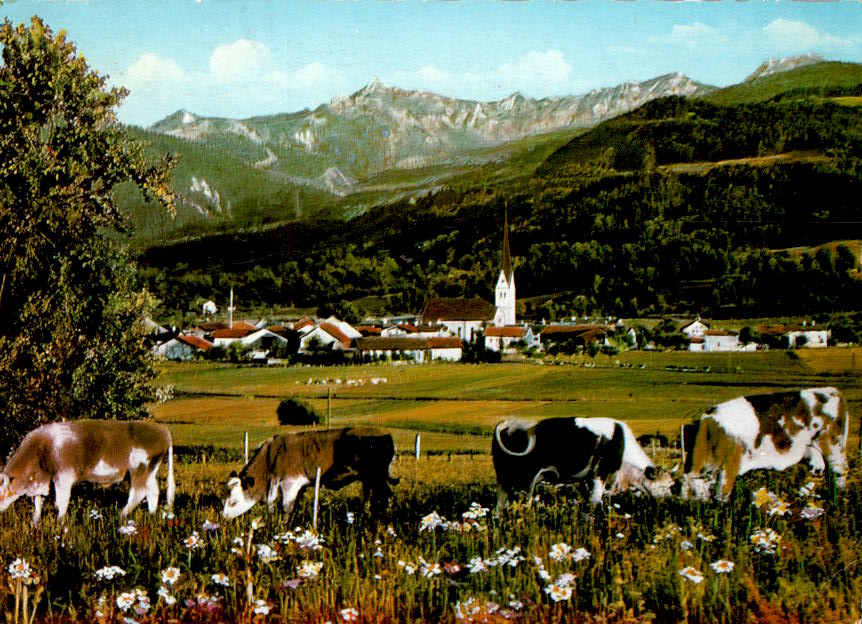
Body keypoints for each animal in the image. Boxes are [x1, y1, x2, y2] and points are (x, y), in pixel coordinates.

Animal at [0, 420, 176, 528]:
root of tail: (163, 430)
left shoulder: (63, 477)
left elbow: (61, 502)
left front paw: (59, 524)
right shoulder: (41, 481)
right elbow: (38, 503)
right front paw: (35, 524)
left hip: (139, 468)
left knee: (138, 492)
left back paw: (120, 516)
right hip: (150, 470)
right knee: (153, 492)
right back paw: (151, 515)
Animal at [221, 426, 400, 520]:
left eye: (233, 501)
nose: (224, 517)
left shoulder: (290, 483)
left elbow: (287, 507)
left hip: (377, 477)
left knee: (387, 496)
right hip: (370, 479)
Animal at [688, 386, 852, 502]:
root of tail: (832, 391)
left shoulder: (729, 466)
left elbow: (722, 493)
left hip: (834, 445)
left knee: (839, 471)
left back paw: (840, 497)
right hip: (811, 450)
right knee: (819, 469)